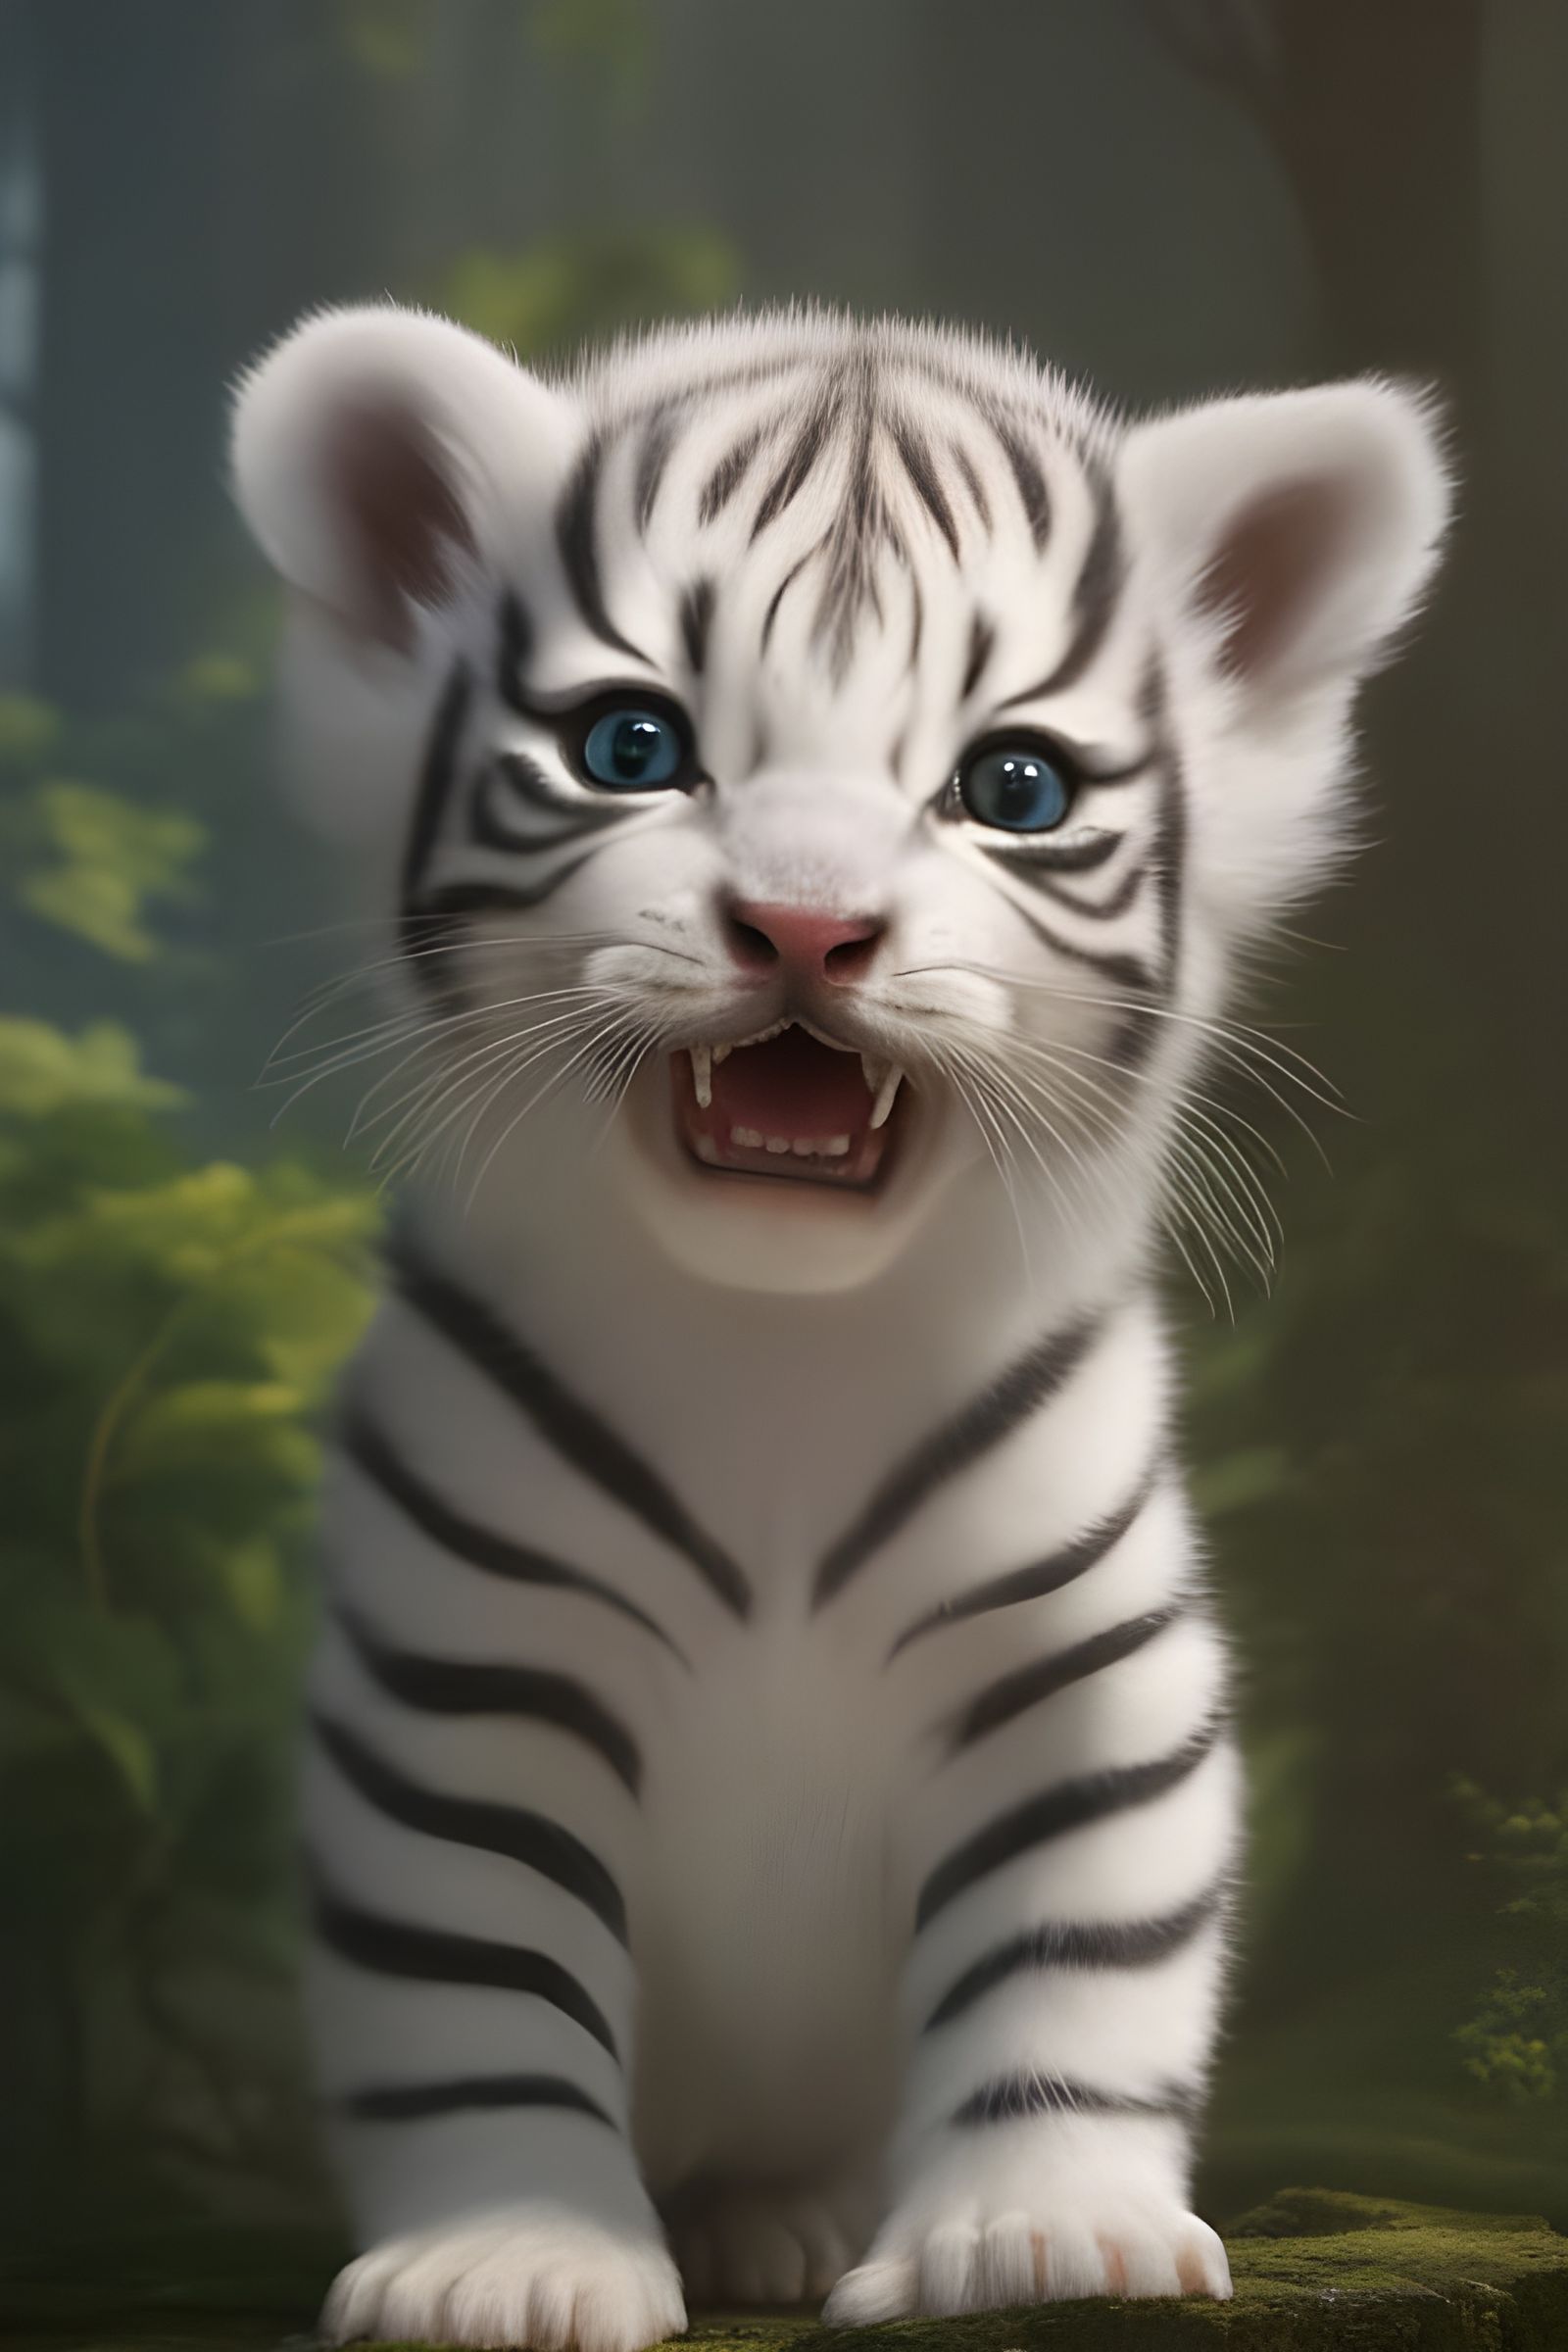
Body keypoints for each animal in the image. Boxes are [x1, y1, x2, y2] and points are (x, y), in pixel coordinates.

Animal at [230, 301, 1446, 2350]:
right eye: (632, 747)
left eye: (1014, 788)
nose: (805, 927)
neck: (780, 1357)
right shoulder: (469, 1671)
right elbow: (482, 1991)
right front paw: (512, 2262)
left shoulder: (1084, 1678)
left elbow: (1075, 1965)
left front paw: (1049, 2237)